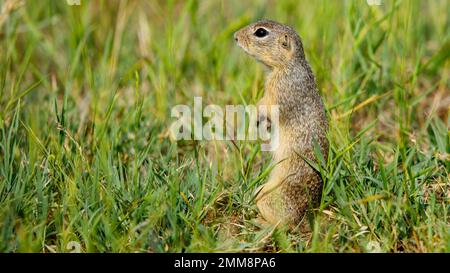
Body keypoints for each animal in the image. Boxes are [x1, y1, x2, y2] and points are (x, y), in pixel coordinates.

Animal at [234, 20, 328, 226]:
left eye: (261, 32)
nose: (235, 36)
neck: (288, 65)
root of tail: (304, 215)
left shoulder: (280, 90)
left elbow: (267, 105)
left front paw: (256, 116)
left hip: (268, 197)